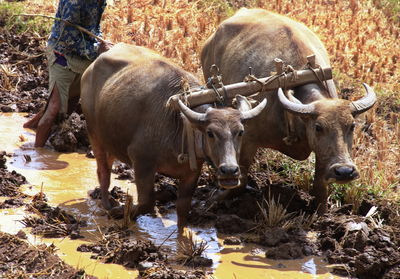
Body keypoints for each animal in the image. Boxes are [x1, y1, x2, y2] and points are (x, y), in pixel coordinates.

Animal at [79, 43, 268, 232]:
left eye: (240, 132)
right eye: (210, 133)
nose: (229, 171)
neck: (182, 127)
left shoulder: (192, 172)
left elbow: (183, 208)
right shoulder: (141, 161)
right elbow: (146, 202)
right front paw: (120, 211)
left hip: (111, 141)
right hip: (94, 134)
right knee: (103, 172)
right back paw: (108, 204)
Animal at [202, 8, 376, 214]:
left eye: (352, 126)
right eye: (318, 127)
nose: (344, 171)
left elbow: (320, 186)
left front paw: (321, 212)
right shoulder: (248, 139)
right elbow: (240, 178)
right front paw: (217, 198)